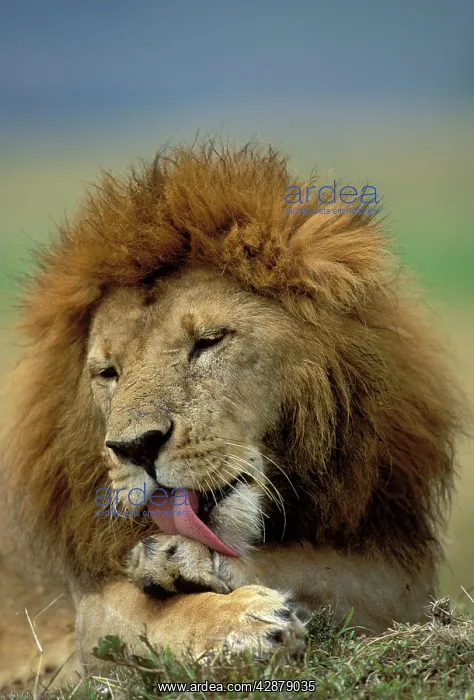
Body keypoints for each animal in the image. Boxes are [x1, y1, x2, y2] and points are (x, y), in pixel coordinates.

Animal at [1, 142, 463, 673]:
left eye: (208, 341)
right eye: (108, 373)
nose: (135, 448)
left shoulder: (397, 576)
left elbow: (313, 565)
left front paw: (182, 559)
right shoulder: (90, 614)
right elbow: (146, 612)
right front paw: (234, 618)